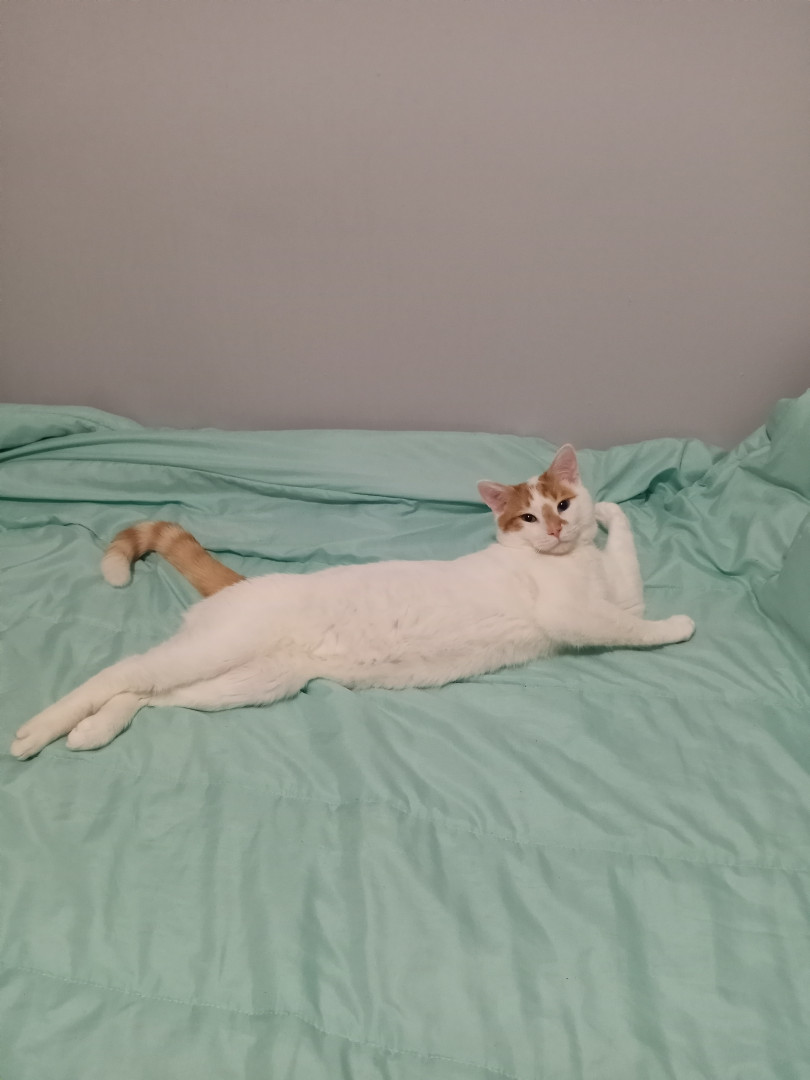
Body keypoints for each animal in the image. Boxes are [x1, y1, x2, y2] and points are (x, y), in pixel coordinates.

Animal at [10, 445, 694, 759]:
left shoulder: (619, 593)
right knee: (118, 673)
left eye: (563, 504)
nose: (555, 529)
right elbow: (634, 628)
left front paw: (611, 513)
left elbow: (628, 571)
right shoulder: (578, 616)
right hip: (219, 652)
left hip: (251, 682)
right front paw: (680, 625)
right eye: (529, 515)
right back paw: (35, 732)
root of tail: (244, 584)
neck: (568, 562)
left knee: (148, 694)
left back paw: (93, 732)